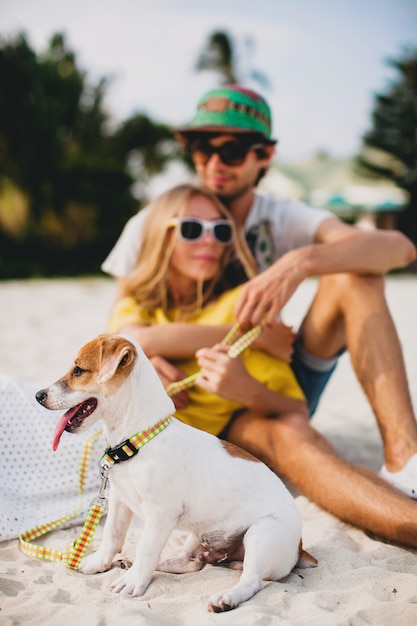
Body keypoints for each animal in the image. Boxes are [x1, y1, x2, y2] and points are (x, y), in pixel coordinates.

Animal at [36, 332, 316, 608]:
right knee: (191, 563)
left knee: (251, 580)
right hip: (198, 536)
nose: (38, 395)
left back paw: (225, 598)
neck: (139, 441)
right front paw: (100, 562)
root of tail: (299, 548)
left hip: (261, 535)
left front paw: (134, 581)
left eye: (79, 370)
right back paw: (131, 562)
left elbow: (147, 548)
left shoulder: (160, 513)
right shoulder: (119, 499)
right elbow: (112, 535)